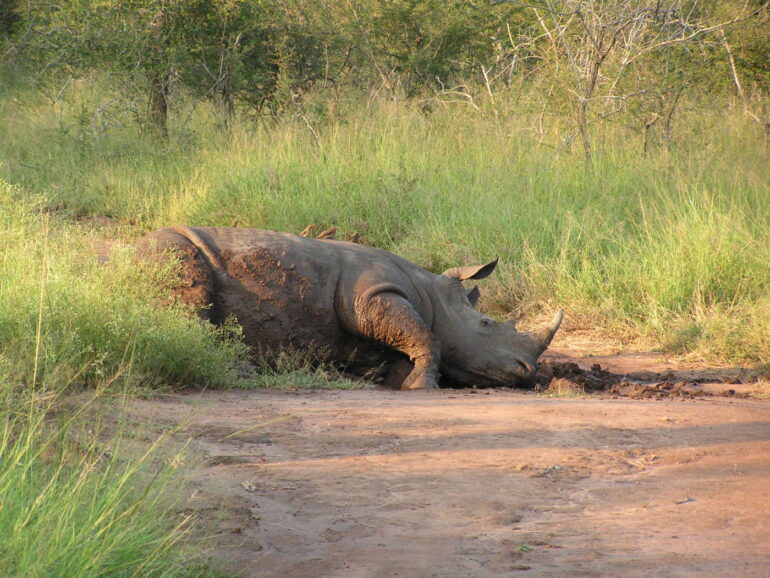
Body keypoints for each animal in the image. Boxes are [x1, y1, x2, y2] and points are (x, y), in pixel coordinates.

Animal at [140, 226, 563, 389]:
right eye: (487, 324)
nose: (528, 371)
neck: (431, 293)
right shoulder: (373, 293)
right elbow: (423, 334)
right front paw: (420, 385)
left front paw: (399, 377)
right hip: (171, 252)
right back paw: (242, 373)